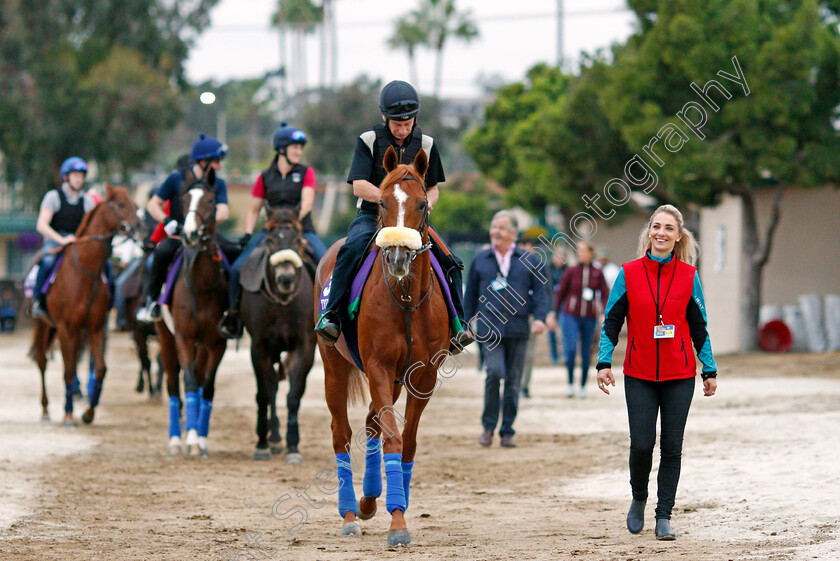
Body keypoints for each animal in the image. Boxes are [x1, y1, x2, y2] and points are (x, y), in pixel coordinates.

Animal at [29, 185, 140, 424]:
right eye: (120, 204)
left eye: (136, 205)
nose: (139, 227)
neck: (85, 271)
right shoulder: (65, 328)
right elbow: (69, 370)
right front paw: (70, 415)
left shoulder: (95, 327)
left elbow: (100, 368)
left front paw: (89, 412)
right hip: (43, 325)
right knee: (42, 362)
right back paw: (45, 409)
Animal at [156, 171, 228, 456]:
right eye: (185, 199)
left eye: (210, 199)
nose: (188, 233)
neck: (200, 284)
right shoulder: (184, 338)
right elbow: (187, 382)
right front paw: (191, 439)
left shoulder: (217, 342)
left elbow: (206, 386)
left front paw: (201, 439)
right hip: (166, 338)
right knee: (173, 385)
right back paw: (176, 439)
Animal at [241, 208, 316, 462]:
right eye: (270, 240)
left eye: (297, 239)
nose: (286, 279)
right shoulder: (259, 346)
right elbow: (264, 393)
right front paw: (262, 444)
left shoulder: (305, 346)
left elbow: (294, 395)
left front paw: (293, 446)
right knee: (271, 387)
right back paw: (272, 439)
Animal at [316, 147, 450, 544]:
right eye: (383, 203)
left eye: (422, 203)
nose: (398, 257)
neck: (405, 299)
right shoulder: (378, 365)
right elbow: (392, 438)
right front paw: (398, 521)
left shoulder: (424, 376)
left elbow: (407, 441)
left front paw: (394, 508)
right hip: (334, 365)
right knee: (342, 434)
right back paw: (349, 514)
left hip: (394, 380)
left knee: (371, 423)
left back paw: (369, 500)